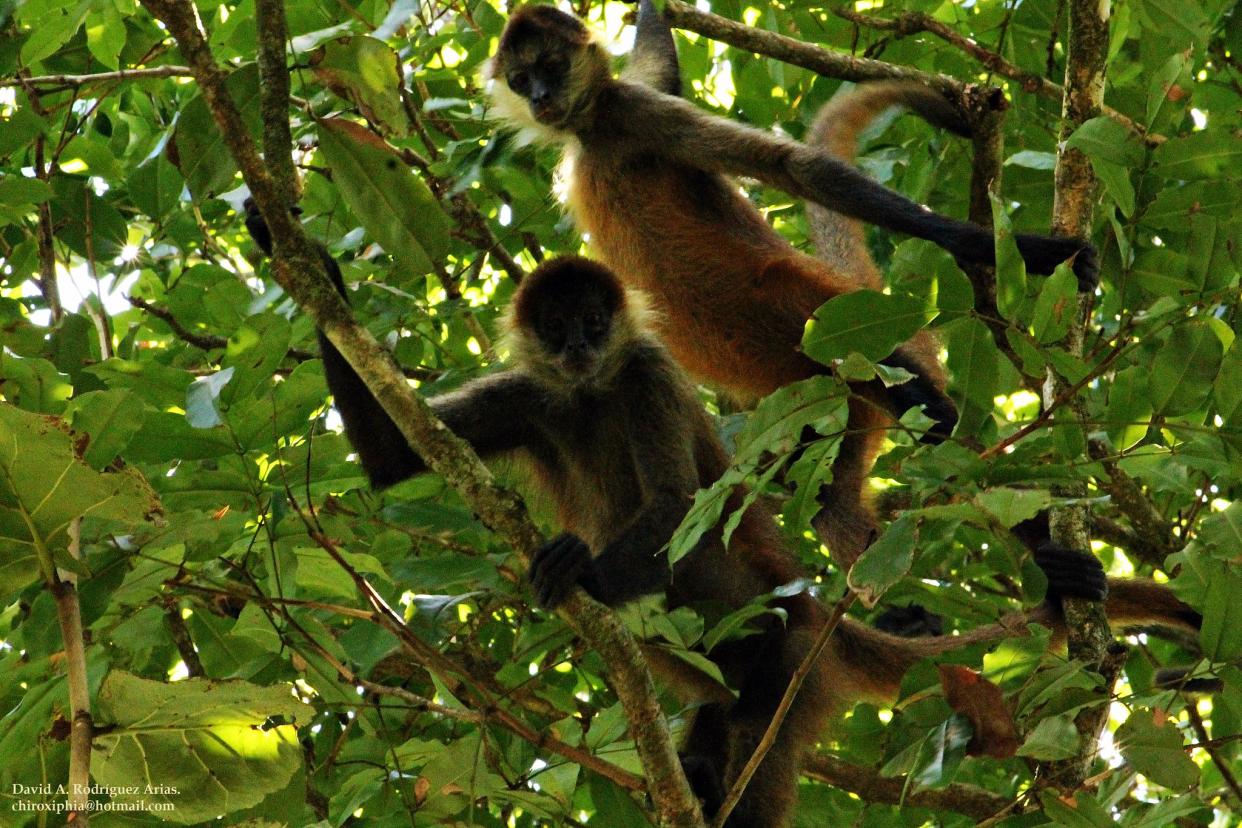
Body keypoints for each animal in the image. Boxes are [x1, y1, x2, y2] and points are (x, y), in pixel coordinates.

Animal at [239, 206, 1192, 828]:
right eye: (559, 326)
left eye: (596, 319)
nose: (580, 344)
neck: (590, 394)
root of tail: (816, 614)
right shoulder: (535, 394)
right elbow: (391, 461)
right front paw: (305, 260)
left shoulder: (648, 372)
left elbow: (673, 509)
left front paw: (576, 572)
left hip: (787, 668)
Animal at [489, 1, 1102, 571]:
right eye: (521, 79)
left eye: (550, 66)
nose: (541, 96)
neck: (590, 132)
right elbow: (661, 68)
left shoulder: (639, 112)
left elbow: (796, 167)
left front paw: (1022, 251)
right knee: (828, 491)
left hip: (823, 318)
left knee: (920, 406)